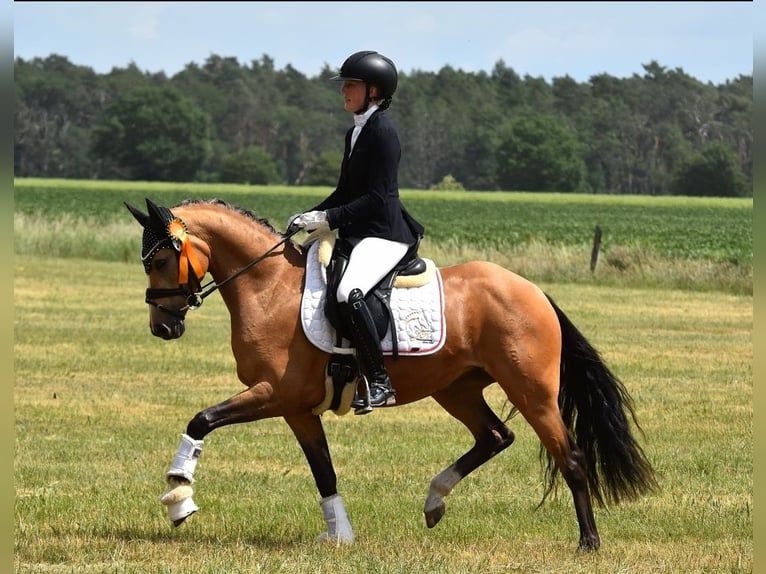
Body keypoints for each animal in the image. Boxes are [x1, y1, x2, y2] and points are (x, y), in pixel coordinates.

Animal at [126, 197, 660, 552]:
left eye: (160, 259)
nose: (162, 327)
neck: (267, 287)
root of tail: (532, 290)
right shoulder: (297, 408)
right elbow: (324, 470)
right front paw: (340, 535)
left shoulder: (274, 394)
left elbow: (201, 420)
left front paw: (179, 497)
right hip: (456, 390)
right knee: (495, 436)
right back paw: (434, 501)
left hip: (532, 392)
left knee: (570, 457)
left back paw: (588, 543)